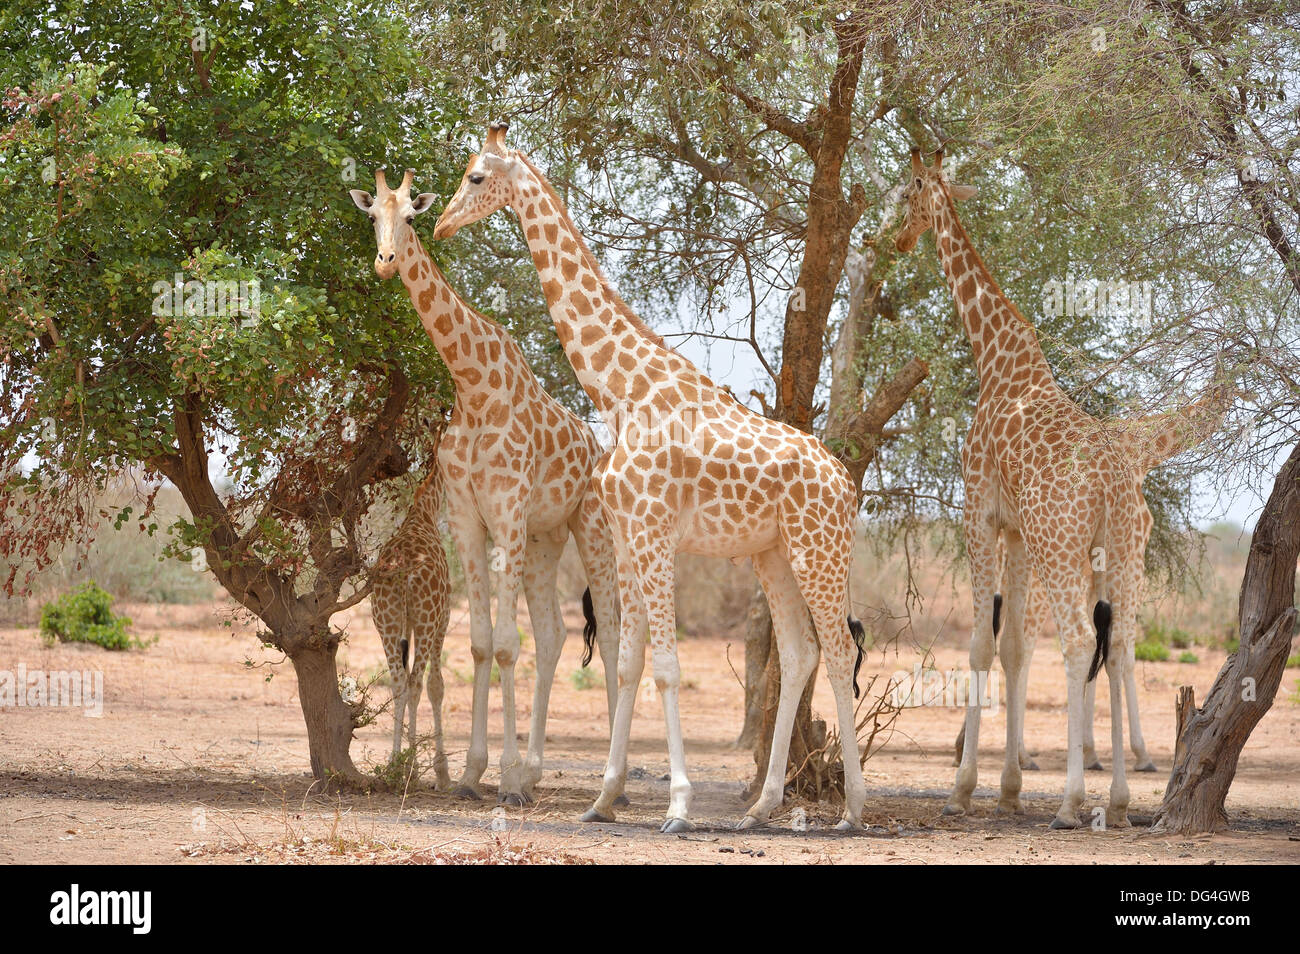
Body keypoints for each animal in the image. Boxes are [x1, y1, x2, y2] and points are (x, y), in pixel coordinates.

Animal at [353, 166, 621, 805]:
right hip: (546, 539)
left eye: (411, 216)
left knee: (613, 638)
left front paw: (502, 778)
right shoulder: (469, 522)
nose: (385, 262)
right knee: (552, 637)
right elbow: (479, 644)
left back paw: (611, 786)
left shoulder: (507, 515)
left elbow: (504, 645)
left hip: (590, 530)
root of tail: (597, 446)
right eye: (372, 215)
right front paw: (477, 772)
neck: (472, 387)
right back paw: (535, 769)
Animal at [431, 123, 868, 831]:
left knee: (836, 650)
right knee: (800, 652)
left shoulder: (655, 533)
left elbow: (665, 665)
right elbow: (630, 660)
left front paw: (679, 805)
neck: (621, 394)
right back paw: (760, 808)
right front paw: (603, 798)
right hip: (772, 553)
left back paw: (853, 809)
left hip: (819, 549)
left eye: (475, 175)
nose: (440, 224)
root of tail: (848, 484)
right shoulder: (630, 534)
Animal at [894, 147, 1196, 831]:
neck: (996, 356)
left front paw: (963, 790)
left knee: (1083, 641)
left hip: (1065, 548)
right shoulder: (1018, 531)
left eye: (904, 193)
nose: (891, 240)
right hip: (1122, 550)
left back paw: (1070, 803)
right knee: (1122, 647)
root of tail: (1113, 478)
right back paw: (1118, 801)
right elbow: (1013, 648)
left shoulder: (979, 512)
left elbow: (982, 646)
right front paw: (1006, 789)